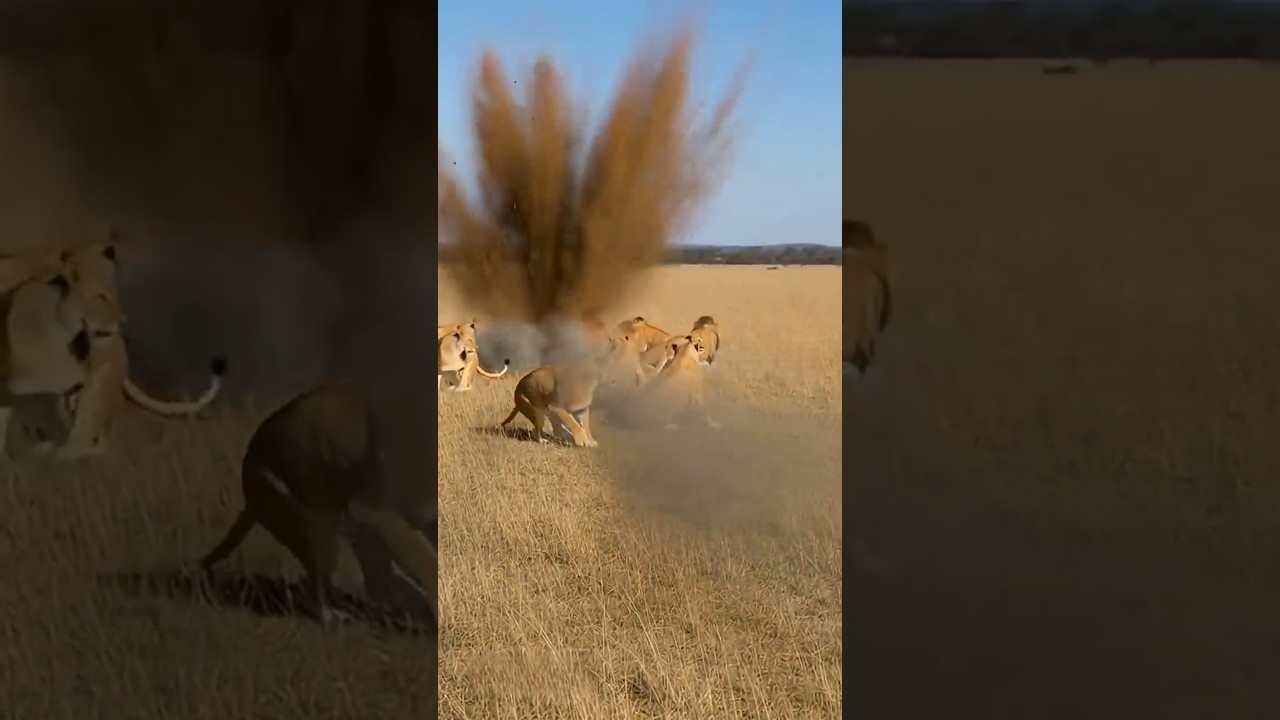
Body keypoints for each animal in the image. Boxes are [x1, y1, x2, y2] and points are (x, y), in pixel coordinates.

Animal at [200, 381, 438, 629]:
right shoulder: (376, 510)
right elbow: (428, 565)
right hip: (316, 529)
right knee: (321, 591)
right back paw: (334, 615)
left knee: (371, 581)